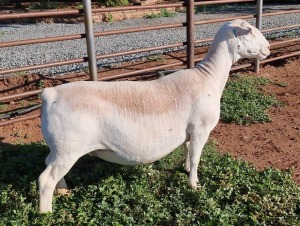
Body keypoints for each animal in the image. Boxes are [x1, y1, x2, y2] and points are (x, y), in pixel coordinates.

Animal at [37, 19, 270, 212]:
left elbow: (187, 150)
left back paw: (63, 190)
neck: (209, 76)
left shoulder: (190, 130)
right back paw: (46, 213)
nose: (268, 48)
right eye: (249, 32)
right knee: (45, 179)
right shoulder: (201, 129)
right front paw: (194, 184)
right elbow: (196, 158)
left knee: (49, 165)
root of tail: (50, 94)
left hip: (59, 148)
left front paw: (185, 169)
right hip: (68, 148)